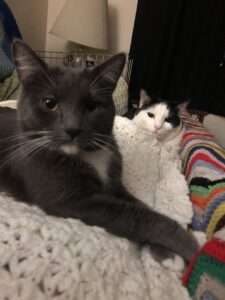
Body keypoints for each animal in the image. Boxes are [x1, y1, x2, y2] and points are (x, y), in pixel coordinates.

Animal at [0, 39, 198, 268]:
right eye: (50, 104)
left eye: (91, 106)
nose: (73, 129)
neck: (89, 155)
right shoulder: (72, 200)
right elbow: (135, 216)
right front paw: (188, 246)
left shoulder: (115, 184)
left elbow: (140, 206)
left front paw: (166, 252)